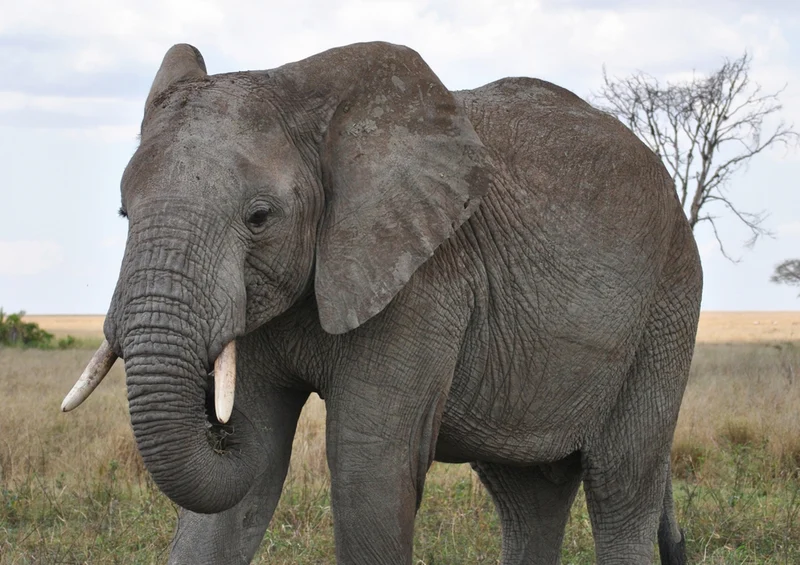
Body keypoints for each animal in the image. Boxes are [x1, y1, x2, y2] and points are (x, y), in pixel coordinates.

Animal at [62, 41, 701, 564]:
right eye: (123, 212)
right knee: (528, 494)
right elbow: (252, 469)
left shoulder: (422, 280)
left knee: (621, 481)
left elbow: (365, 469)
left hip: (668, 302)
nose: (214, 423)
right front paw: (243, 432)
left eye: (259, 217)